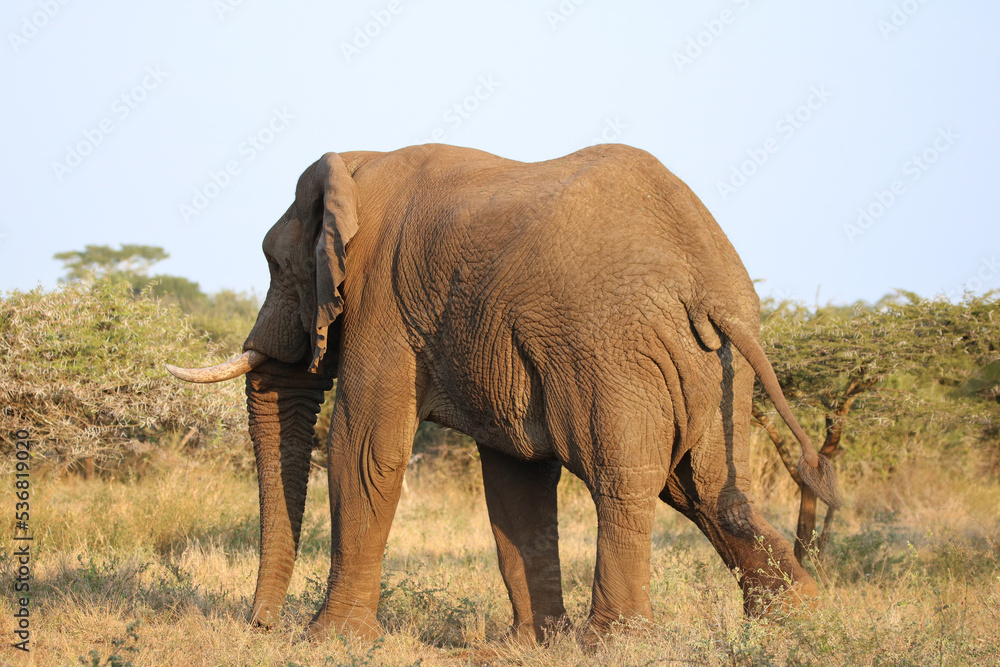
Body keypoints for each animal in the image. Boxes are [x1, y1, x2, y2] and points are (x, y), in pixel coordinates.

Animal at [167, 143, 841, 644]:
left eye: (276, 265)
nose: (261, 627)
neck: (357, 166)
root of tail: (709, 282)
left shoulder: (380, 297)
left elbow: (363, 451)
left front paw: (329, 641)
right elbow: (516, 477)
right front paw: (534, 645)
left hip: (612, 350)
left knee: (624, 482)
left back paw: (615, 643)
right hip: (710, 365)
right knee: (707, 487)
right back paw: (797, 624)